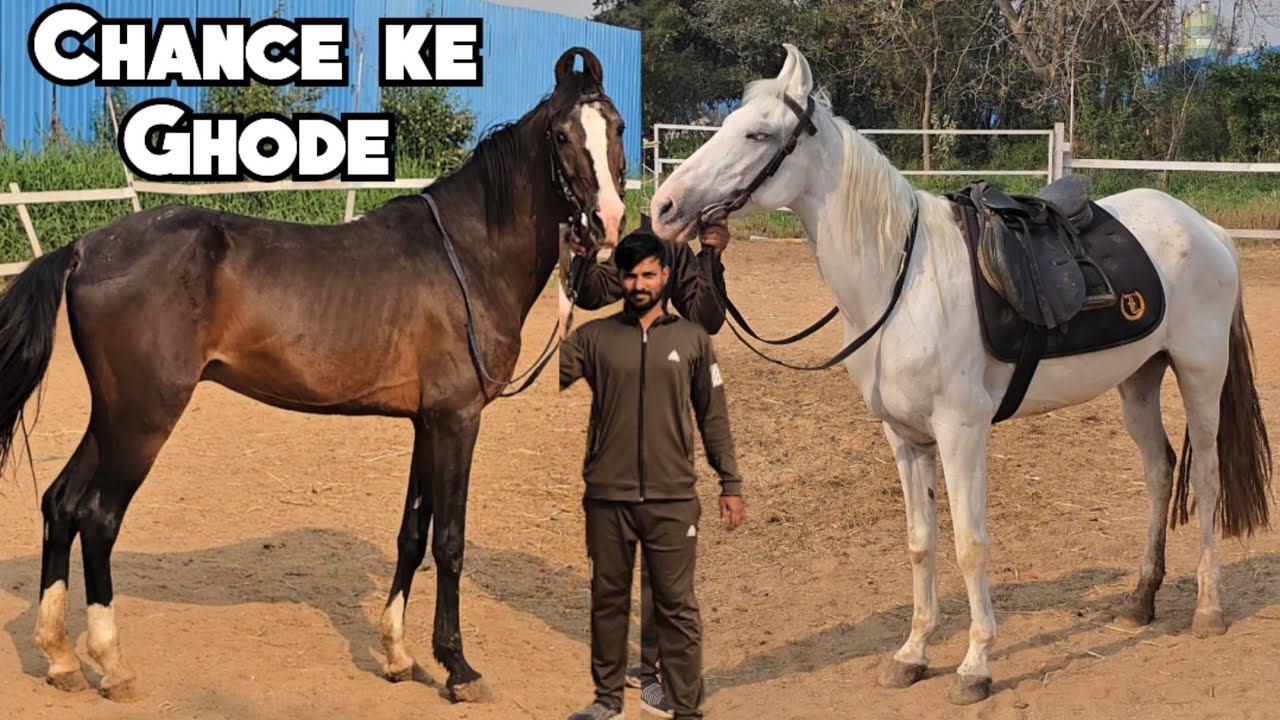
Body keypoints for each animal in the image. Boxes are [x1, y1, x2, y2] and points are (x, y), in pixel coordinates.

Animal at [0, 46, 627, 702]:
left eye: (617, 128)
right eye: (561, 135)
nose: (607, 223)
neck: (467, 254)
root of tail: (85, 248)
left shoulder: (427, 422)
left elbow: (412, 533)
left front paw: (398, 654)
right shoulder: (458, 420)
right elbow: (449, 542)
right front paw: (458, 667)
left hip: (112, 416)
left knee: (61, 504)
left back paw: (61, 658)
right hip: (143, 419)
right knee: (97, 517)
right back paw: (112, 664)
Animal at [648, 44, 1271, 705]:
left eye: (758, 133)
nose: (664, 208)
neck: (901, 279)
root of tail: (1205, 229)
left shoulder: (960, 432)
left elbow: (971, 546)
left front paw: (976, 666)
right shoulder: (904, 439)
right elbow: (921, 543)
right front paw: (912, 653)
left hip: (1200, 374)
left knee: (1204, 477)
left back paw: (1207, 610)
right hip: (1139, 378)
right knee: (1158, 470)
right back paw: (1139, 601)